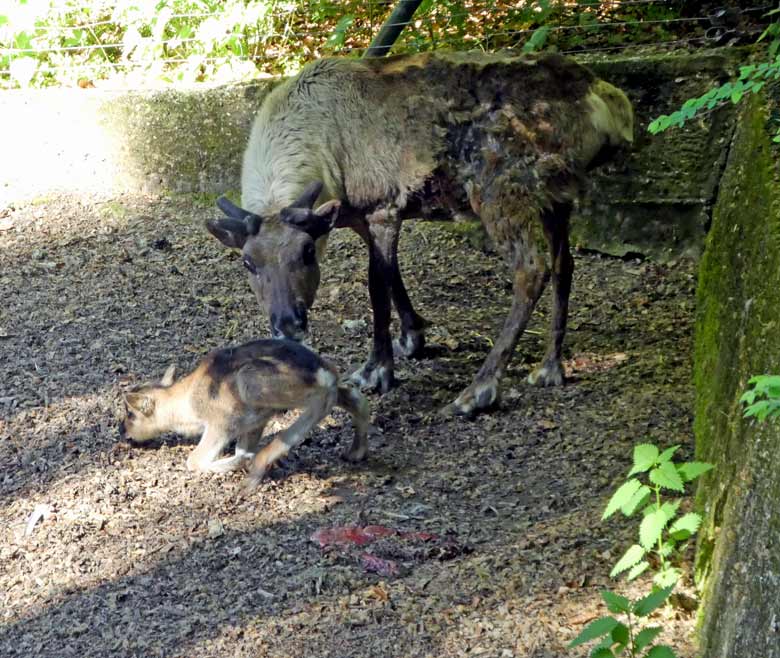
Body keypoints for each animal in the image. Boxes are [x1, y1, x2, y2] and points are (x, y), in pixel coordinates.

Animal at [118, 338, 368, 486]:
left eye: (130, 414)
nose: (122, 431)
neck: (188, 409)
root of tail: (324, 371)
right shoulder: (252, 423)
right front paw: (245, 456)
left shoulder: (221, 424)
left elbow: (194, 460)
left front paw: (245, 459)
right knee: (352, 395)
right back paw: (355, 452)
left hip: (251, 380)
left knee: (326, 400)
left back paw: (257, 467)